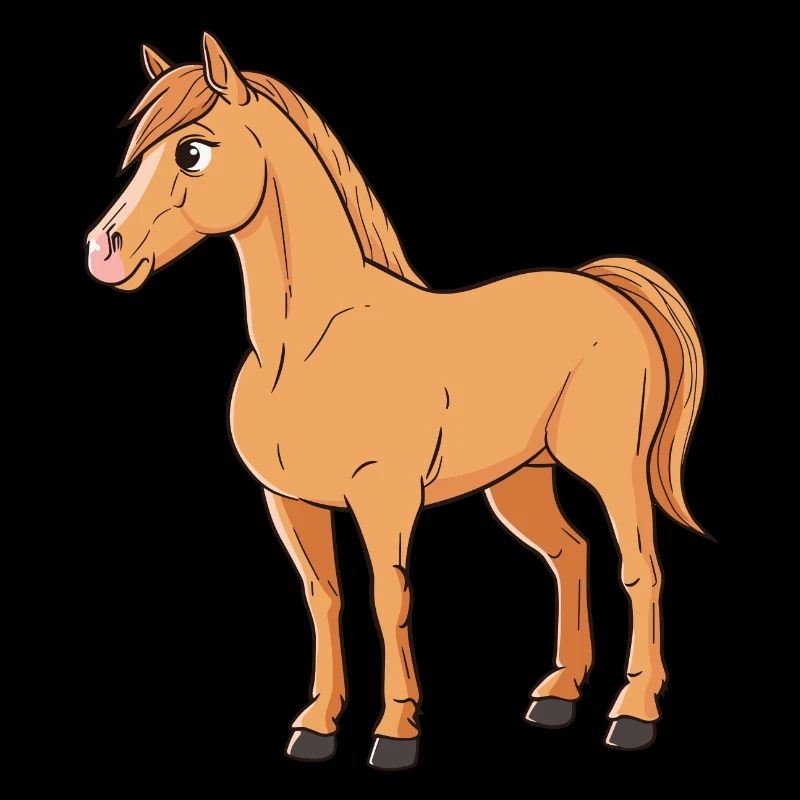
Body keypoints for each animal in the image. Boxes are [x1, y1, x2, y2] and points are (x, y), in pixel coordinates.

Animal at [86, 33, 706, 768]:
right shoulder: (290, 502)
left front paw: (395, 731)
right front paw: (315, 727)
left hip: (611, 465)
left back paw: (634, 712)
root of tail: (607, 288)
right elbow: (324, 598)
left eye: (191, 151)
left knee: (641, 567)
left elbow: (390, 597)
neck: (307, 348)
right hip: (521, 477)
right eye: (141, 153)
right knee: (570, 554)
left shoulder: (385, 497)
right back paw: (557, 696)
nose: (103, 251)